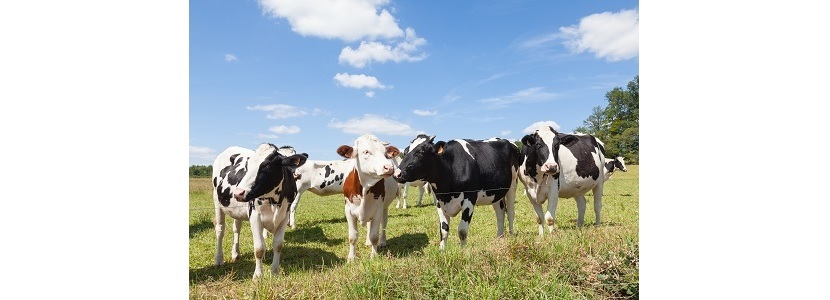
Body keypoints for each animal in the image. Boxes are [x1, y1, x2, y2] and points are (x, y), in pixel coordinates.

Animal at [211, 143, 308, 278]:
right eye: (247, 166)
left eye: (267, 165)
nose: (238, 193)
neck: (274, 202)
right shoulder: (255, 217)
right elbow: (259, 248)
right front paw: (258, 275)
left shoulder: (284, 216)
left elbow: (278, 245)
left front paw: (275, 271)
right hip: (217, 201)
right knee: (220, 230)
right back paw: (219, 259)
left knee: (237, 229)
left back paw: (236, 253)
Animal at [394, 135, 524, 248]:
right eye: (406, 151)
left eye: (420, 152)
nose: (397, 174)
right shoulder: (439, 201)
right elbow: (444, 230)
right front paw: (442, 251)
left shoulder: (469, 199)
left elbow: (462, 231)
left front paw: (463, 252)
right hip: (495, 193)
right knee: (500, 212)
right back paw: (499, 238)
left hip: (513, 185)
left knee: (510, 212)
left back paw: (511, 235)